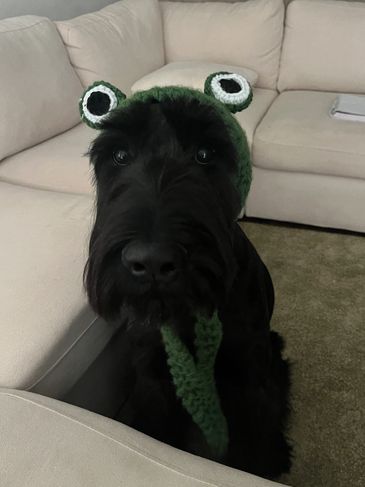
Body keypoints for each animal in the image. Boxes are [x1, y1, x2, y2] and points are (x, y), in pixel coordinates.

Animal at [84, 95, 290, 480]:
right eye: (119, 155)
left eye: (205, 153)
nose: (151, 262)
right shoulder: (152, 376)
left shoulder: (249, 377)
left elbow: (253, 446)